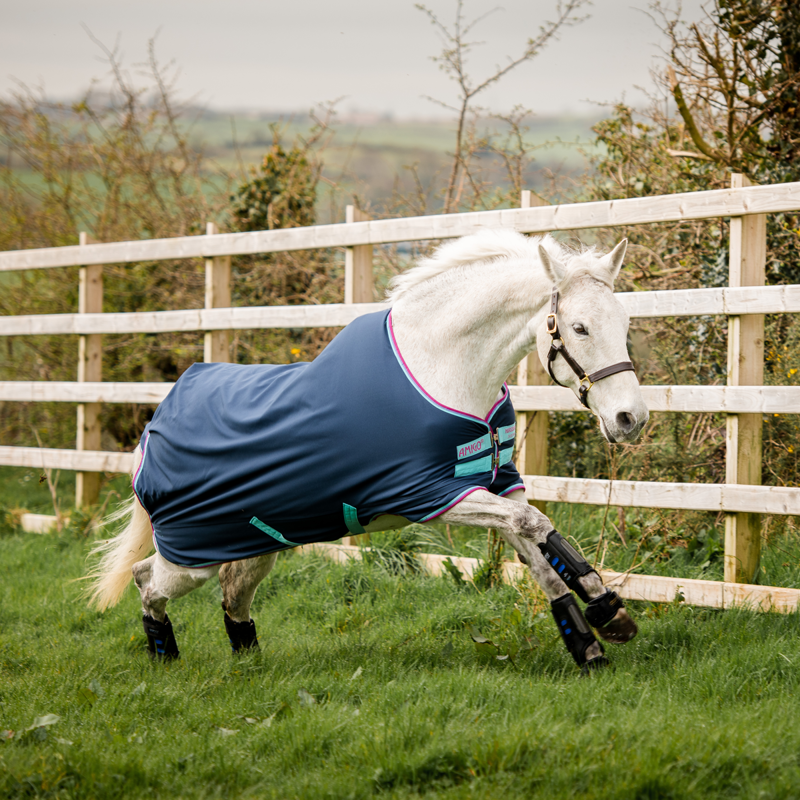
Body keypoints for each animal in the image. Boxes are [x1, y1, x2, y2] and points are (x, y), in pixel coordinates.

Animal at [88, 228, 649, 671]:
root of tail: (154, 427)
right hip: (192, 556)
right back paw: (164, 659)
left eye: (625, 324)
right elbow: (538, 528)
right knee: (146, 580)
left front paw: (594, 638)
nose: (631, 419)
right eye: (578, 327)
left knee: (232, 592)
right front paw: (606, 610)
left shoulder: (497, 486)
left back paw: (248, 663)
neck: (442, 370)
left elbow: (537, 549)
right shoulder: (432, 496)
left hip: (252, 545)